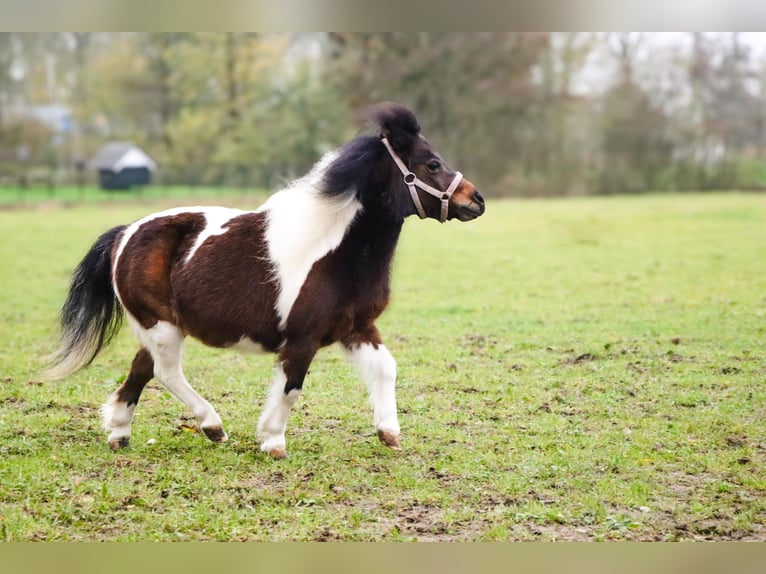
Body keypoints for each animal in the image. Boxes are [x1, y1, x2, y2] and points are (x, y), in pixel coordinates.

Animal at [45, 103, 486, 462]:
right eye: (431, 164)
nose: (476, 200)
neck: (334, 251)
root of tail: (124, 232)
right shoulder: (304, 338)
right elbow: (292, 387)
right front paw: (273, 442)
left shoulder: (357, 328)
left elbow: (386, 370)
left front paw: (389, 433)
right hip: (162, 327)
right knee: (167, 373)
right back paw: (213, 426)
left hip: (162, 328)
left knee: (142, 369)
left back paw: (120, 433)